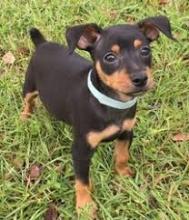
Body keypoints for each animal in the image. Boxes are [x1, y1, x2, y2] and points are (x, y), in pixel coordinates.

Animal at [21, 15, 175, 218]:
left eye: (145, 50)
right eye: (110, 57)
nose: (141, 79)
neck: (112, 102)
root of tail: (42, 43)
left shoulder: (126, 133)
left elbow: (122, 156)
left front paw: (124, 176)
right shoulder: (81, 150)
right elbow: (82, 182)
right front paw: (85, 207)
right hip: (29, 85)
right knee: (28, 101)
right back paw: (25, 118)